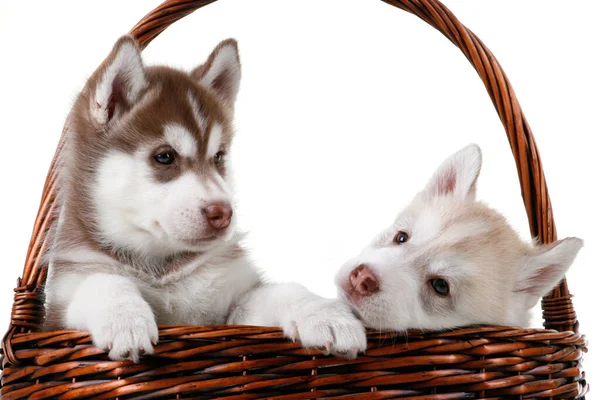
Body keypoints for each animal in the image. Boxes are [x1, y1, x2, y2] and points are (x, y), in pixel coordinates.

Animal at [44, 36, 366, 362]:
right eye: (165, 156)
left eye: (219, 157)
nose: (223, 213)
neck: (164, 269)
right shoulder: (59, 309)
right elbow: (104, 282)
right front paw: (125, 319)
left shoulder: (235, 305)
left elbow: (285, 290)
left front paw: (327, 314)